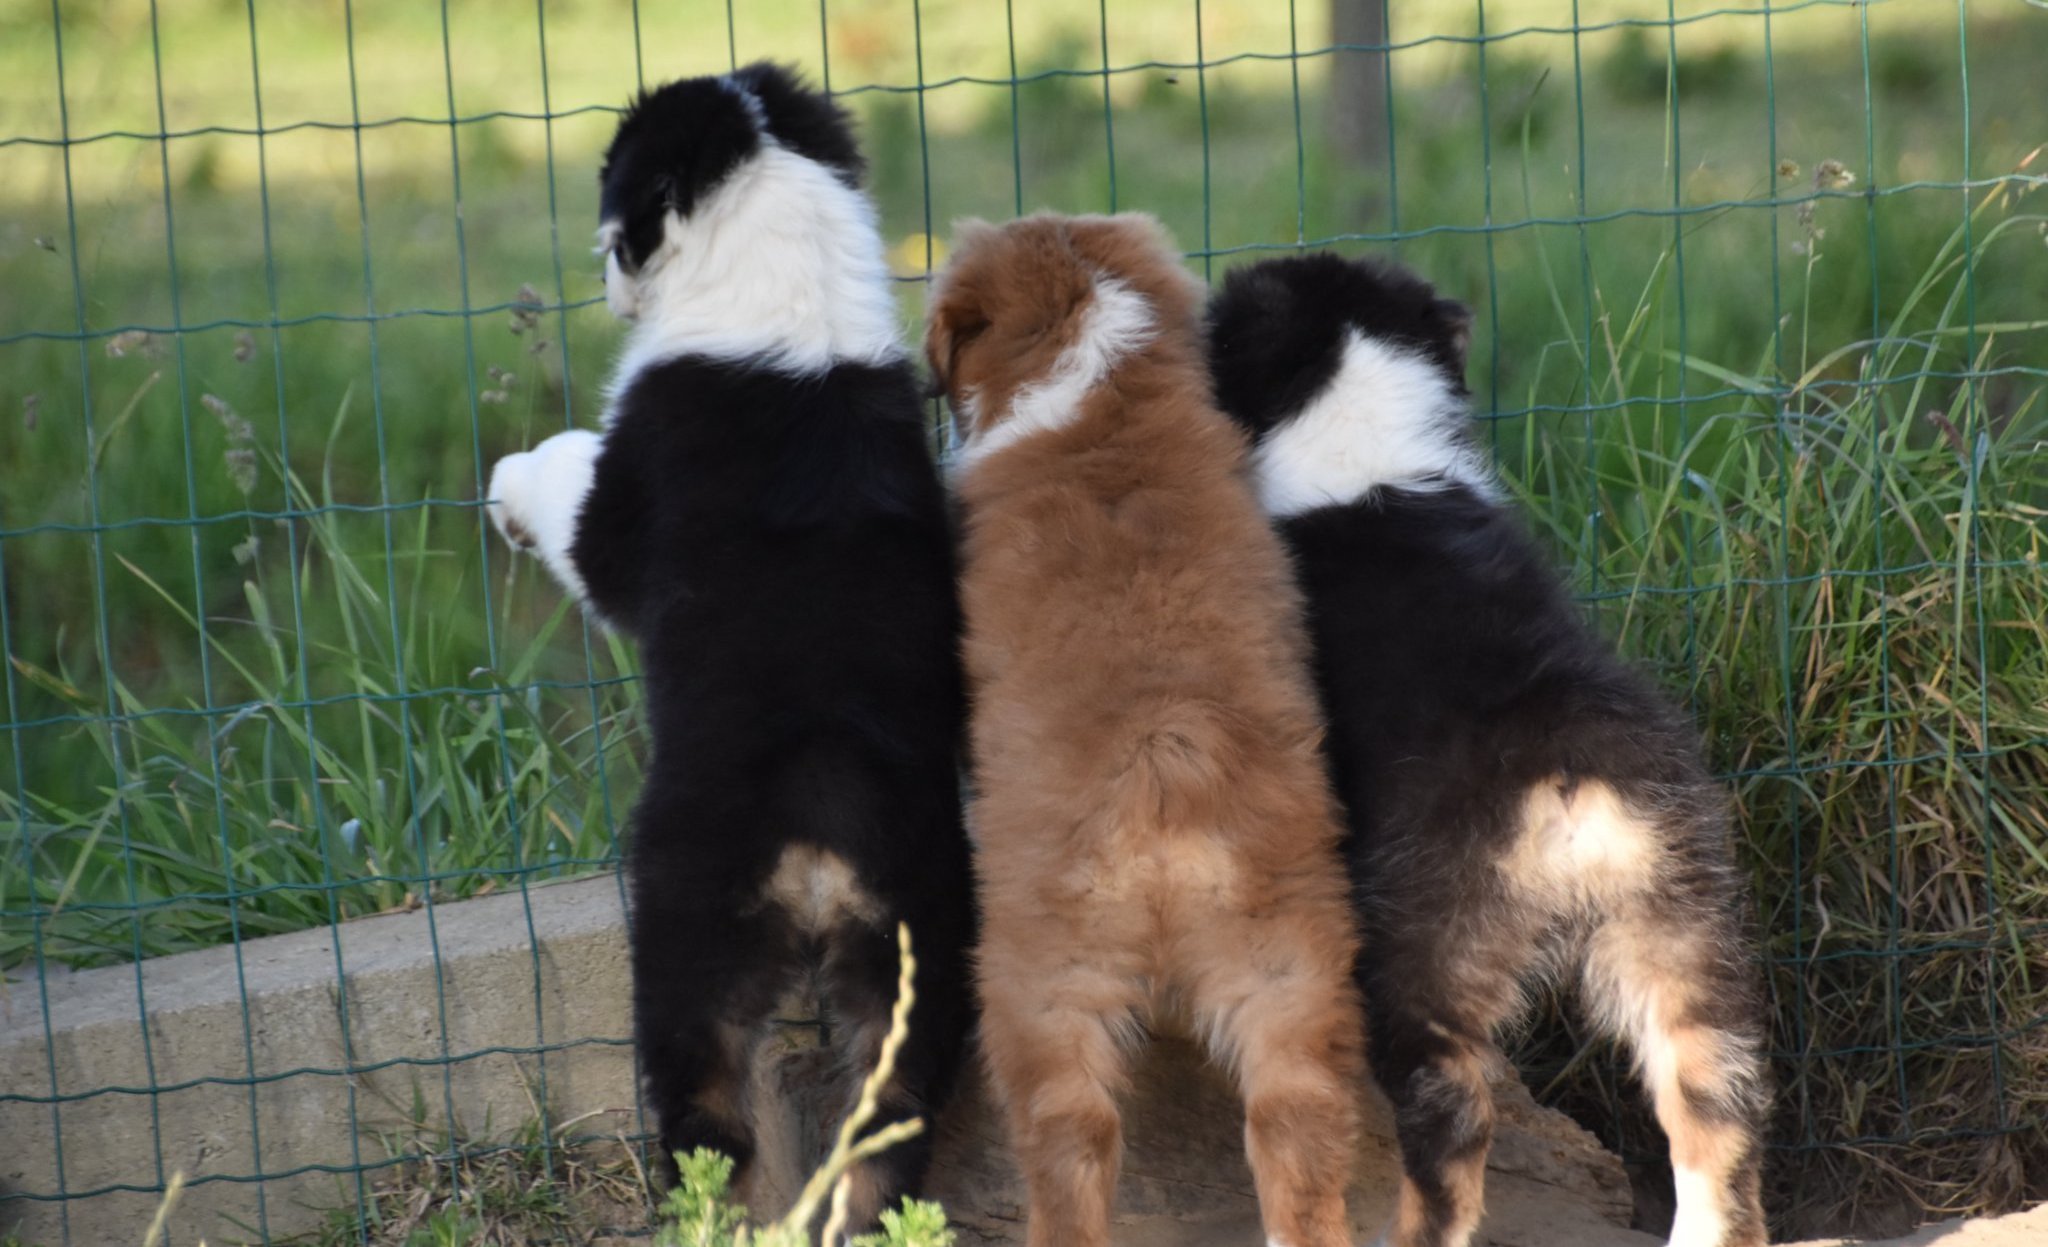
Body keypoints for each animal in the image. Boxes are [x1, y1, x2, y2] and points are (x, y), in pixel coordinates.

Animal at [483, 60, 970, 1228]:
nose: (604, 284)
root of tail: (830, 816)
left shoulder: (616, 512)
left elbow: (561, 468)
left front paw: (504, 492)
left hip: (689, 937)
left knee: (711, 1114)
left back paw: (705, 1212)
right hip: (919, 959)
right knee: (886, 1130)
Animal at [937, 213, 1368, 1244]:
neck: (1103, 392)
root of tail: (1167, 777)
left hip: (1044, 986)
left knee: (1072, 1140)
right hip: (1291, 967)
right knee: (1298, 1126)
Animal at [1204, 250, 1769, 1244]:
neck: (1359, 434)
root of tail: (1565, 779)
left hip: (1429, 944)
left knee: (1452, 1136)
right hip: (1681, 920)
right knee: (1714, 1107)